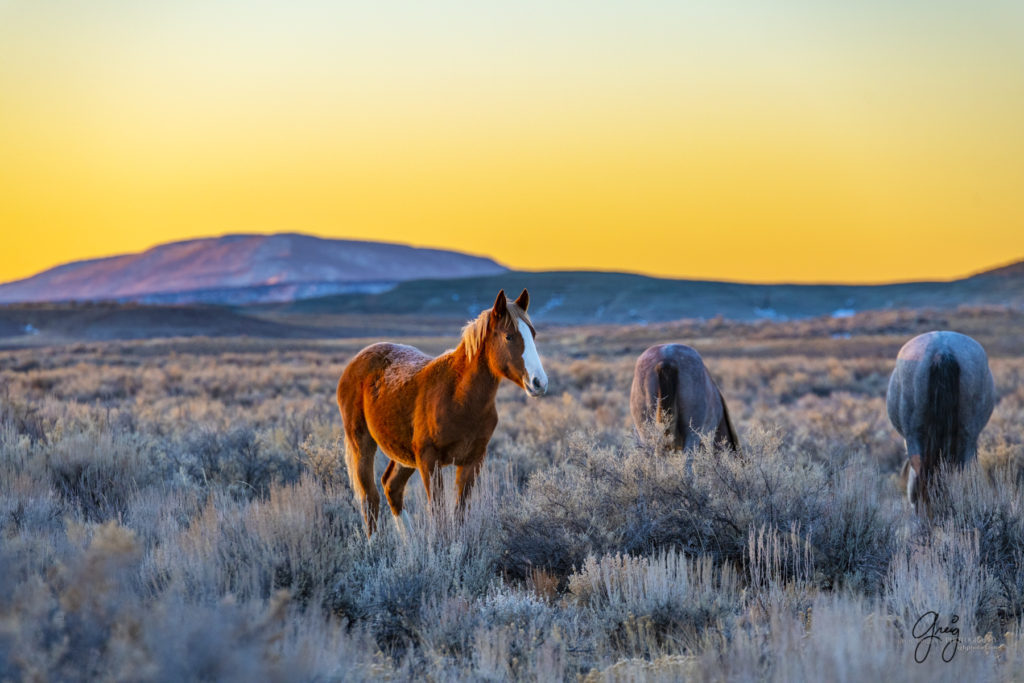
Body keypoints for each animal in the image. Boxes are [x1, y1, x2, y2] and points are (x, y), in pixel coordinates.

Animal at [337, 288, 548, 532]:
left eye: (533, 334)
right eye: (509, 337)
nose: (539, 382)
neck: (458, 398)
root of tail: (356, 361)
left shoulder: (471, 462)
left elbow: (459, 514)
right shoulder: (430, 461)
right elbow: (439, 516)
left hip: (404, 455)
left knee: (391, 487)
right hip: (362, 444)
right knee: (369, 498)